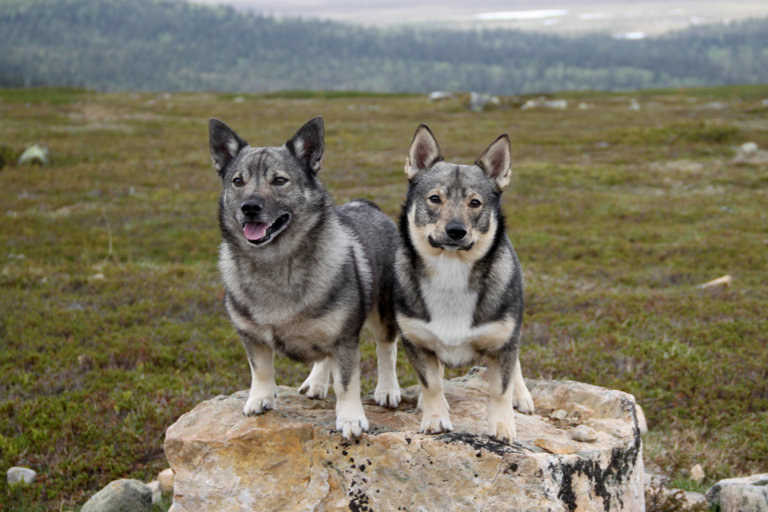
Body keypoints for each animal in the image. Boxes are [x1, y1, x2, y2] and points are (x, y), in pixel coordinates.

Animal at [210, 117, 402, 440]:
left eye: (279, 180)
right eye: (238, 181)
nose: (249, 207)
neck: (274, 263)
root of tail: (367, 204)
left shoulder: (344, 340)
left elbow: (347, 383)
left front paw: (350, 418)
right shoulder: (251, 336)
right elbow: (261, 370)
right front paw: (260, 398)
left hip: (383, 313)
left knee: (386, 349)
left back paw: (387, 389)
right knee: (323, 355)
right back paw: (316, 382)